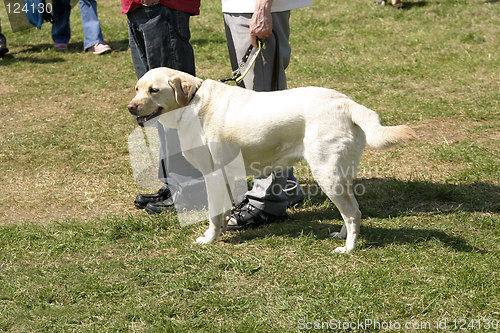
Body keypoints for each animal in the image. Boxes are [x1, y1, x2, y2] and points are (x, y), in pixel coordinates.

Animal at [127, 67, 416, 252]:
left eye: (154, 90)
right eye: (137, 89)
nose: (131, 107)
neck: (193, 101)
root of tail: (346, 103)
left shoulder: (212, 174)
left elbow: (213, 214)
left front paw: (209, 239)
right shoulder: (225, 176)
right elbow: (223, 212)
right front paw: (222, 232)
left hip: (327, 176)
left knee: (353, 214)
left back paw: (348, 248)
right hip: (340, 176)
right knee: (352, 210)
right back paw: (342, 235)